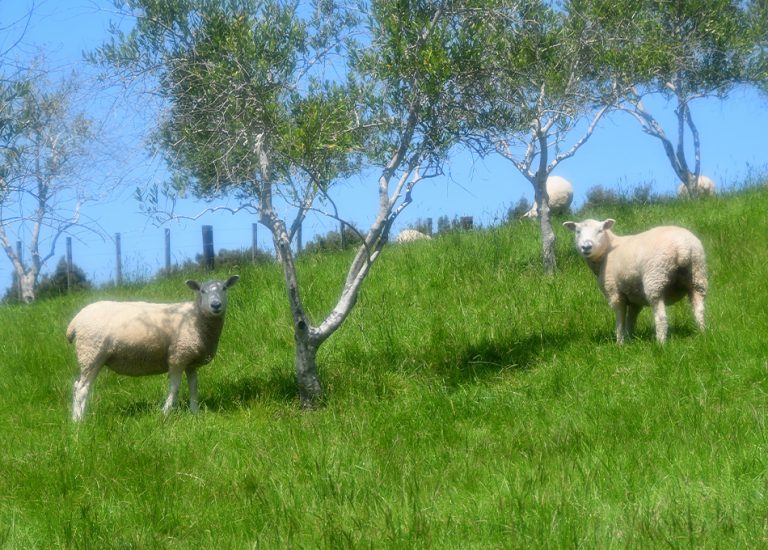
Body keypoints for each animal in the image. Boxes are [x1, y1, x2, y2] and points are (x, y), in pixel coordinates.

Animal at [67, 275, 239, 421]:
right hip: (91, 352)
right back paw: (79, 422)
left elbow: (193, 387)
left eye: (224, 288)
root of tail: (75, 320)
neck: (195, 316)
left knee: (79, 386)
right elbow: (175, 387)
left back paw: (76, 418)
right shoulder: (178, 356)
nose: (215, 305)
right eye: (202, 291)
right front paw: (165, 413)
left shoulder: (190, 362)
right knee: (82, 389)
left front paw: (194, 412)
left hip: (91, 355)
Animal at [563, 219, 707, 344]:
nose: (586, 246)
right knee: (699, 309)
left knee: (661, 317)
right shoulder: (634, 296)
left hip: (655, 279)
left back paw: (660, 343)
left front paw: (620, 342)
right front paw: (629, 338)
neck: (607, 251)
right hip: (697, 275)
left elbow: (620, 318)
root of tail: (682, 247)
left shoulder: (614, 292)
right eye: (578, 231)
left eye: (600, 230)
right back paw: (702, 334)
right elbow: (631, 318)